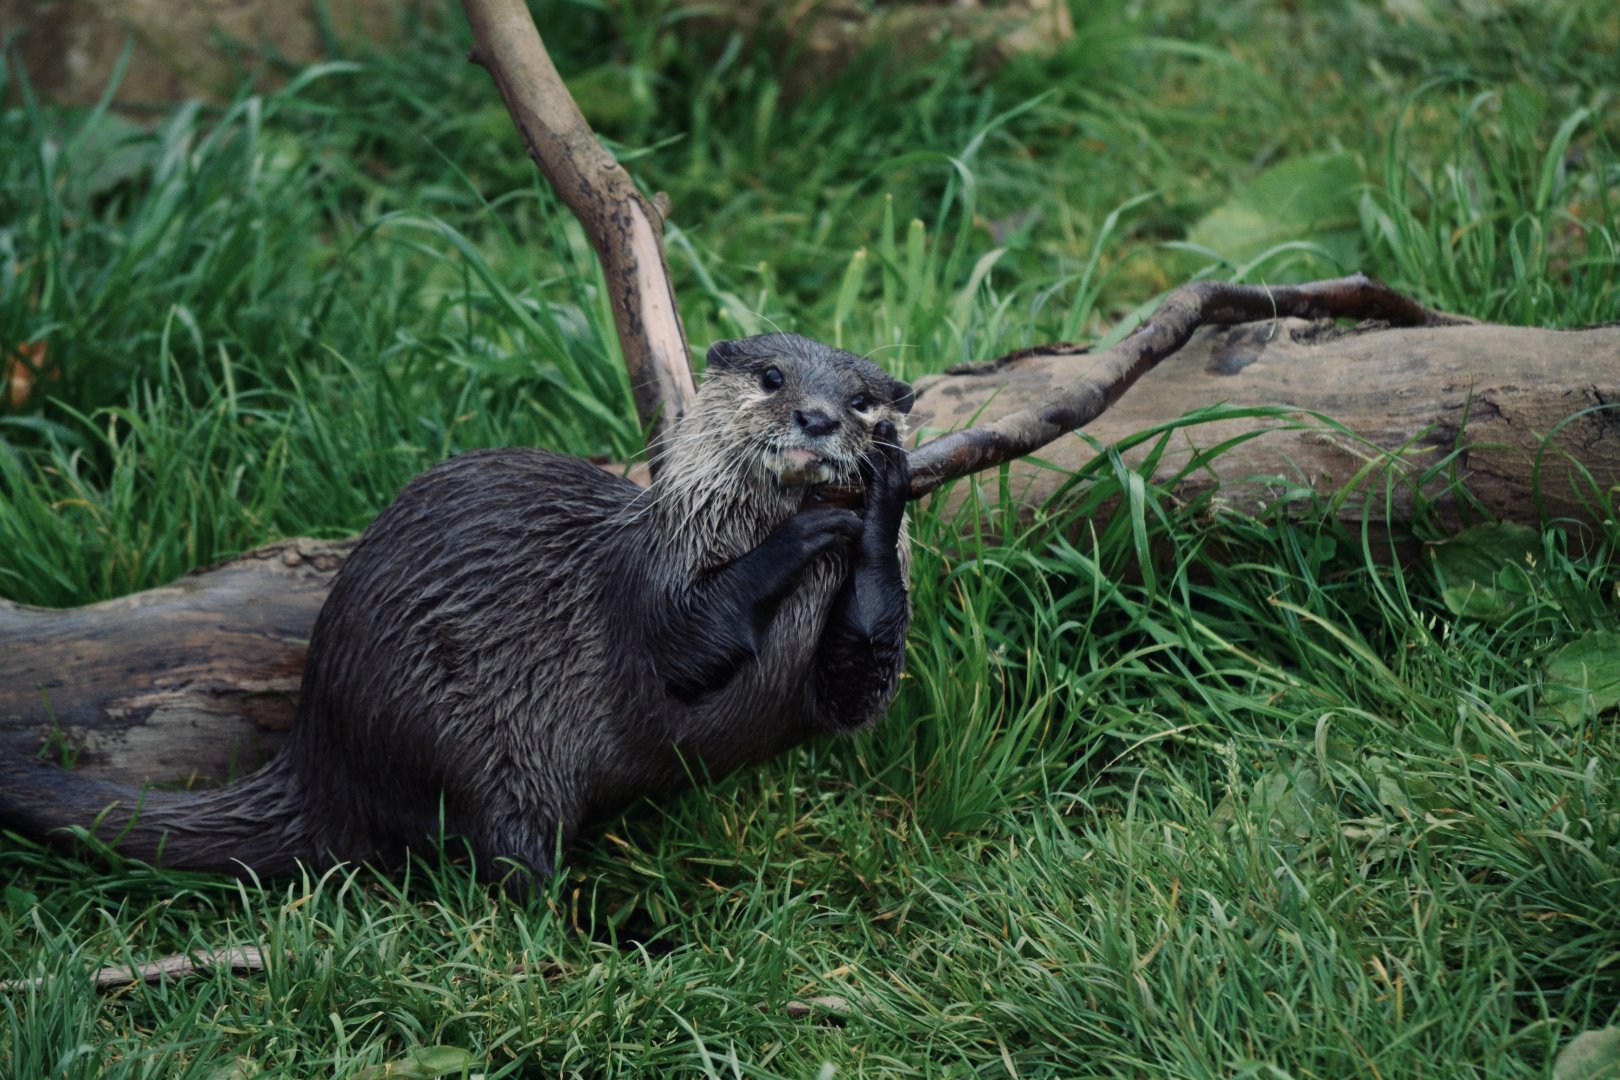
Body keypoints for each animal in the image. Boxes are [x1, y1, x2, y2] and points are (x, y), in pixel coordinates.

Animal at [0, 333, 915, 887]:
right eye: (772, 377)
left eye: (863, 398)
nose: (818, 418)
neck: (712, 524)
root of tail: (319, 747)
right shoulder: (651, 586)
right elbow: (690, 642)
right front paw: (811, 527)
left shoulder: (837, 676)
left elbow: (859, 680)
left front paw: (880, 497)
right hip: (467, 743)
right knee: (504, 856)